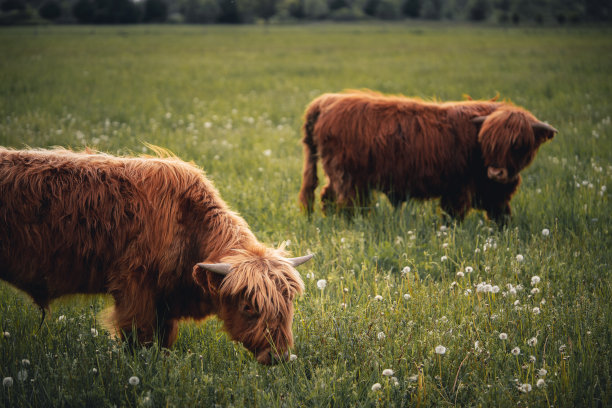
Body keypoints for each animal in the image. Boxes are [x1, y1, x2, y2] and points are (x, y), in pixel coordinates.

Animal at [0, 147, 314, 364]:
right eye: (248, 306)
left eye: (288, 305)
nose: (278, 357)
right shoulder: (134, 288)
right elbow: (139, 338)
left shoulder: (164, 301)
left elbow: (163, 341)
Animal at [298, 90, 556, 225]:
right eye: (488, 142)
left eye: (519, 145)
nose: (496, 172)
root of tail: (329, 100)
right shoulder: (458, 189)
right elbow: (454, 215)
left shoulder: (495, 192)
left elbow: (501, 214)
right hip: (347, 177)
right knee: (343, 202)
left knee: (327, 196)